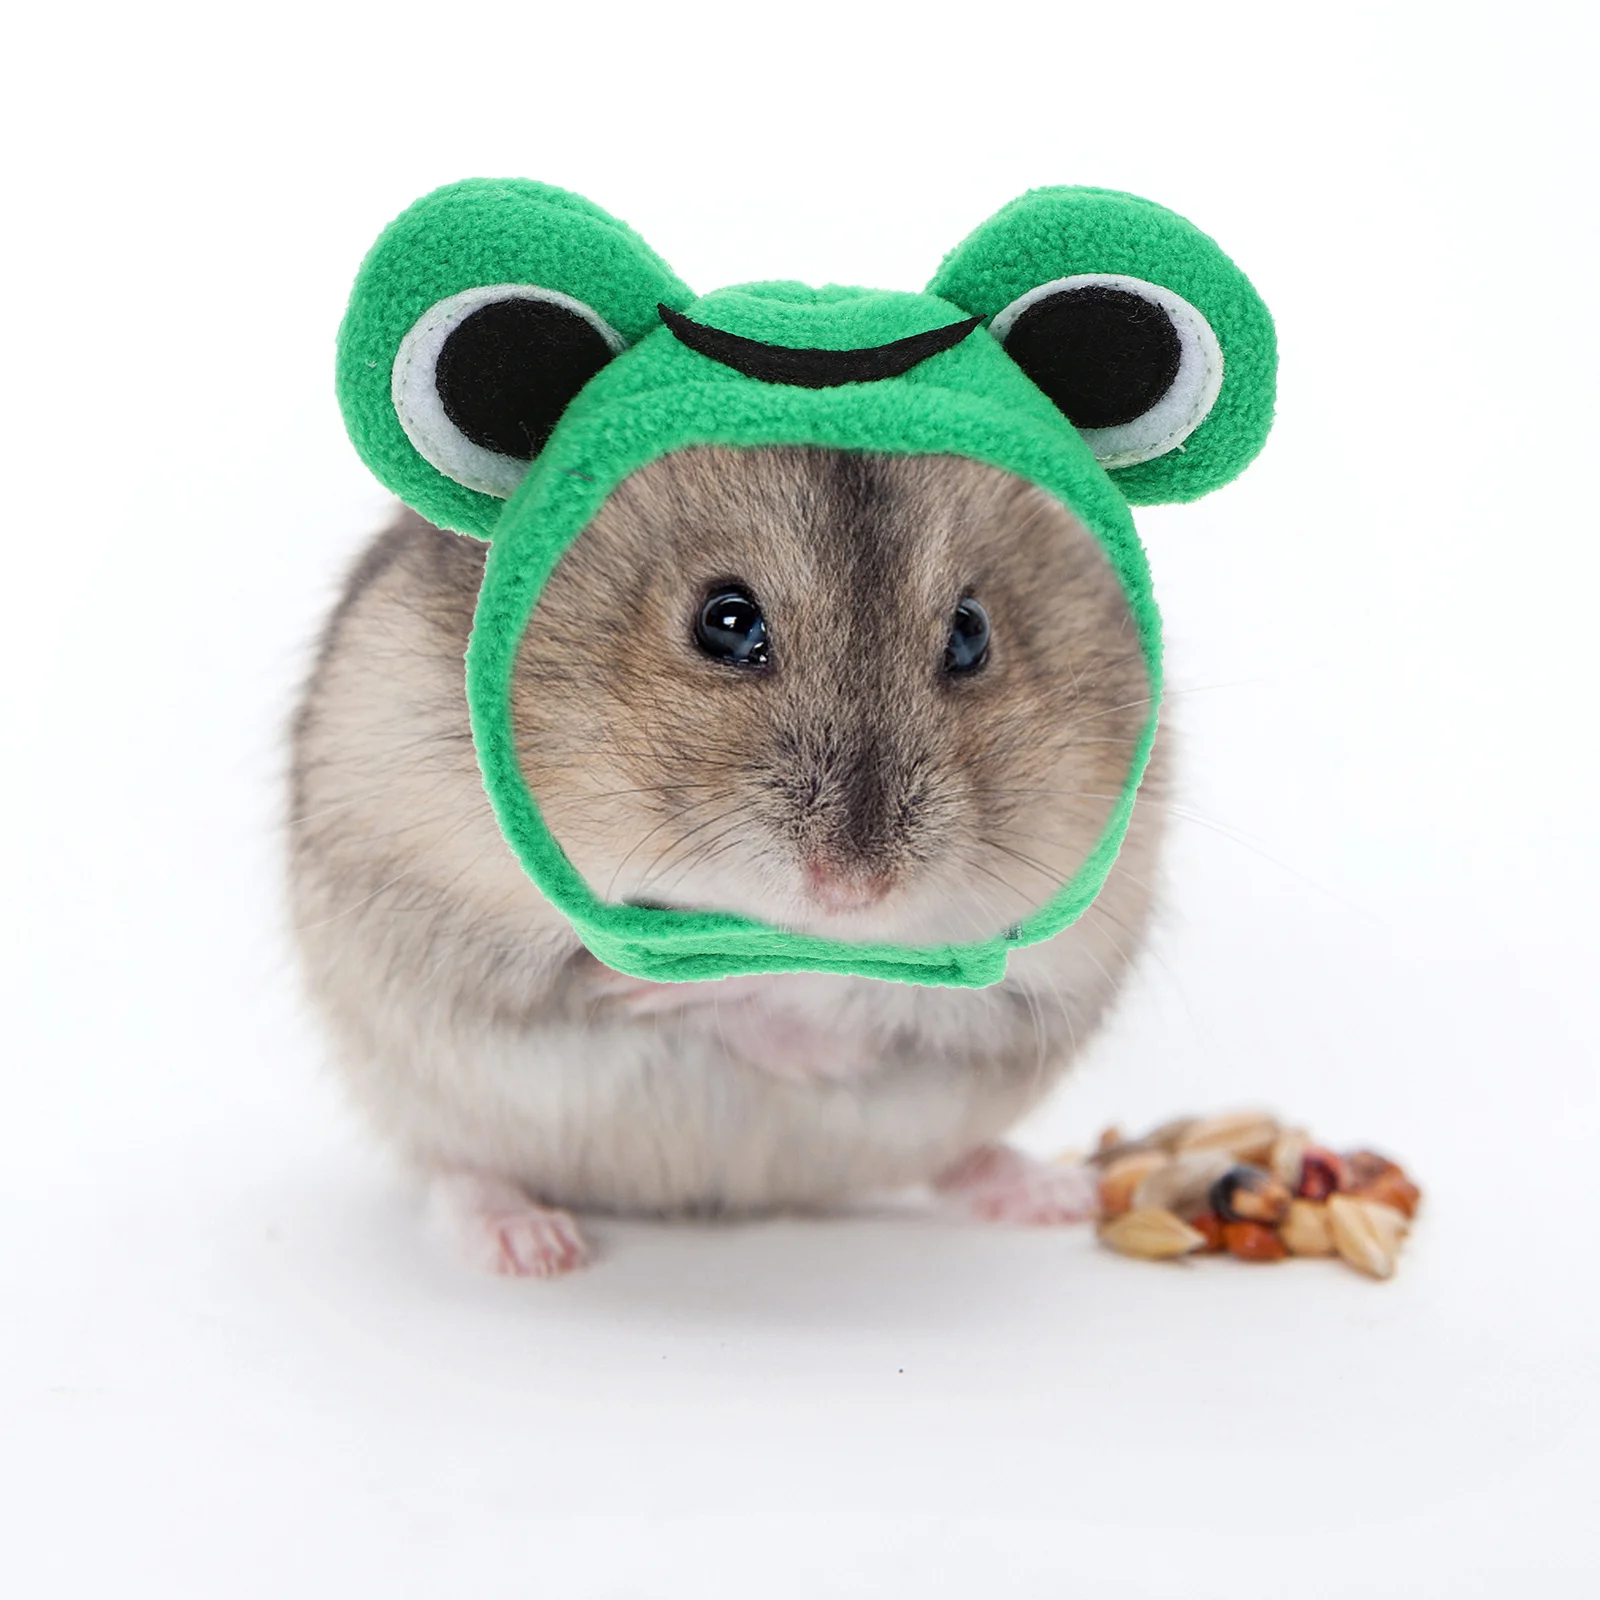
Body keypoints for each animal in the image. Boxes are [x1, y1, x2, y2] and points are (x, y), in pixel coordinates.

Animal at [288, 446, 1168, 1276]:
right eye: (728, 621)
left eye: (972, 632)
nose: (852, 893)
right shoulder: (445, 899)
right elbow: (603, 972)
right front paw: (644, 977)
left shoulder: (1039, 973)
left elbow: (843, 995)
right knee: (455, 1171)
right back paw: (533, 1248)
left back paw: (1059, 1193)